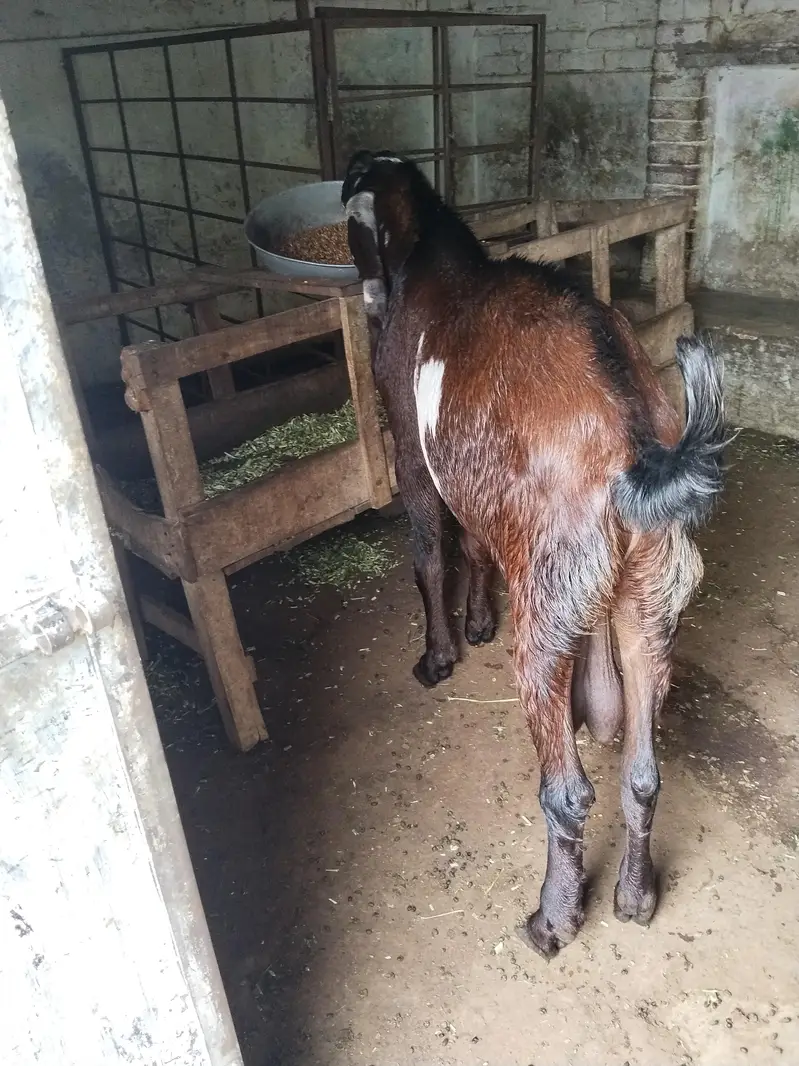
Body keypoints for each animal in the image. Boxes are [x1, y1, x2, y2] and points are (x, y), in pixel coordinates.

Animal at [342, 151, 727, 958]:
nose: (364, 296)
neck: (432, 256)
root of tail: (634, 439)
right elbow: (475, 544)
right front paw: (478, 622)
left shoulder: (413, 451)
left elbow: (430, 550)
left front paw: (439, 655)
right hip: (649, 591)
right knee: (642, 773)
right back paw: (635, 898)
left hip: (549, 603)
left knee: (568, 792)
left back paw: (554, 918)